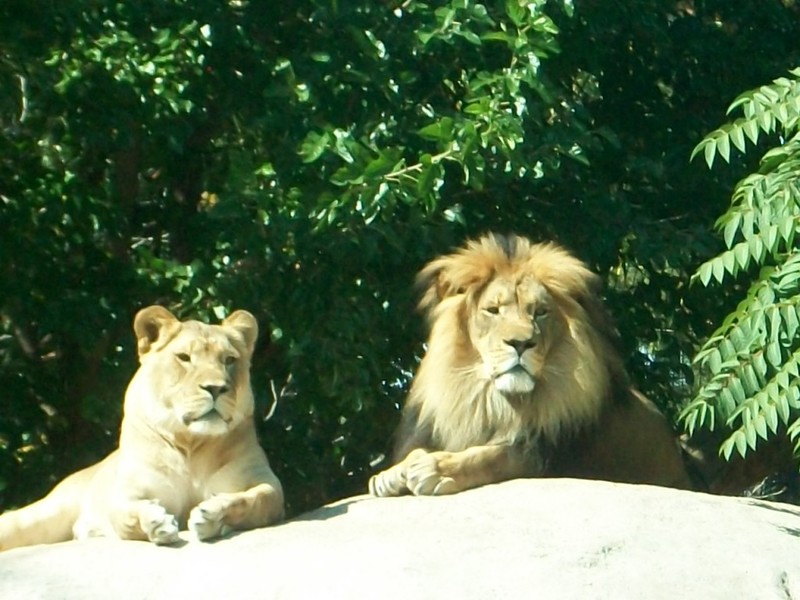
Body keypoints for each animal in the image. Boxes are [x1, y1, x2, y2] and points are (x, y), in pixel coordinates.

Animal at [0, 308, 284, 552]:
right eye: (184, 358)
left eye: (229, 360)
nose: (215, 388)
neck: (191, 445)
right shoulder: (126, 494)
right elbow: (126, 516)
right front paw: (156, 523)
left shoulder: (266, 482)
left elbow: (253, 500)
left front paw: (212, 513)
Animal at [372, 234, 696, 496]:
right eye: (493, 310)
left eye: (540, 312)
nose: (520, 343)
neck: (493, 402)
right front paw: (391, 474)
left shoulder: (550, 456)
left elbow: (498, 455)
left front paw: (439, 468)